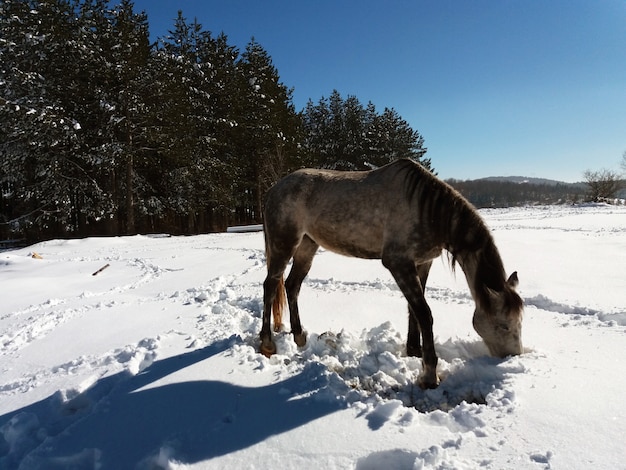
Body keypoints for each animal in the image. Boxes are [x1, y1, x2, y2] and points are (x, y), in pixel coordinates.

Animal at [258, 158, 520, 390]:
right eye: (504, 326)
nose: (512, 357)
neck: (428, 210)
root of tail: (273, 190)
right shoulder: (398, 263)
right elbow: (424, 313)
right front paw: (429, 375)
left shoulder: (422, 263)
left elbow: (414, 310)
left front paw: (413, 351)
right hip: (284, 244)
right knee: (270, 286)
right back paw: (267, 344)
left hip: (307, 245)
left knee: (292, 285)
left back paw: (299, 336)